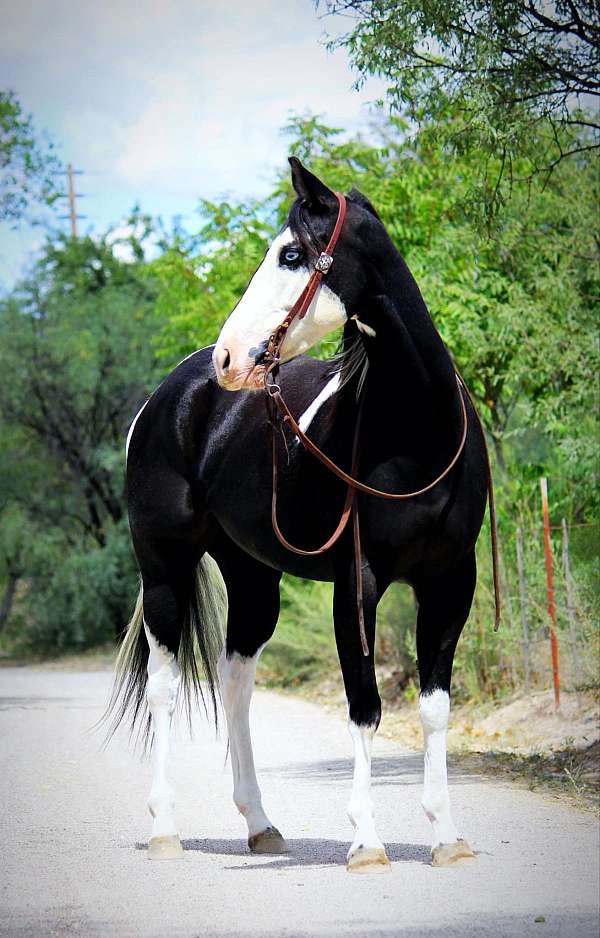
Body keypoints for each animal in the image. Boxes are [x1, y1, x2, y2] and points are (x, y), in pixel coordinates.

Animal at [110, 159, 490, 872]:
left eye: (291, 254)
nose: (231, 358)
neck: (417, 434)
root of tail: (171, 394)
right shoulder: (358, 582)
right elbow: (365, 704)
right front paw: (366, 841)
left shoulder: (452, 580)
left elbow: (433, 708)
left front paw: (447, 836)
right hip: (164, 568)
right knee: (167, 685)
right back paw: (166, 827)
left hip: (253, 577)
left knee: (235, 679)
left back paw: (261, 824)